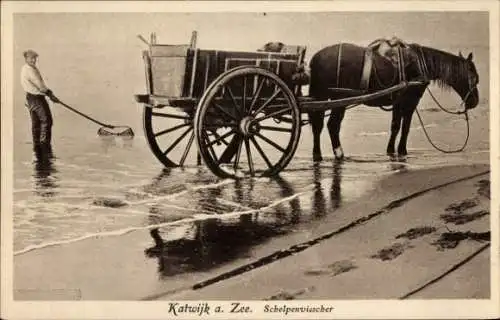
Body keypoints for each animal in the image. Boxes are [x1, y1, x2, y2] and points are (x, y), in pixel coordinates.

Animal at [306, 41, 478, 161]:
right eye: (475, 78)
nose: (474, 102)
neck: (419, 64)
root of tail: (316, 59)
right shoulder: (410, 102)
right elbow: (405, 127)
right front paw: (402, 150)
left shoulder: (398, 103)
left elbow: (395, 126)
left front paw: (390, 151)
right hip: (339, 98)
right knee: (332, 125)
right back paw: (339, 154)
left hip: (323, 98)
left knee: (318, 126)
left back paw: (317, 154)